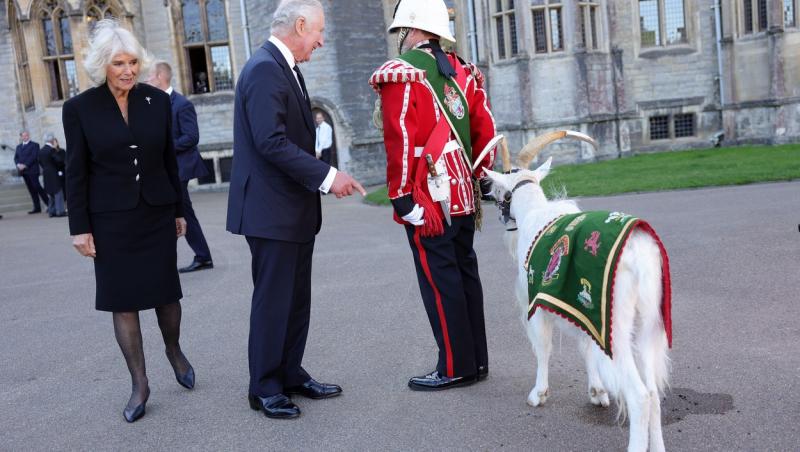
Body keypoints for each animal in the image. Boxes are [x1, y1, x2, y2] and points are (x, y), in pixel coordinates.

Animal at [484, 133, 672, 452]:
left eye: (501, 189)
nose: (488, 196)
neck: (535, 211)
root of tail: (638, 254)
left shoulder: (537, 301)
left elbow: (542, 347)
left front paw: (539, 394)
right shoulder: (582, 307)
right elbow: (586, 346)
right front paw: (597, 391)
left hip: (617, 326)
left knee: (640, 395)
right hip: (650, 320)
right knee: (654, 390)